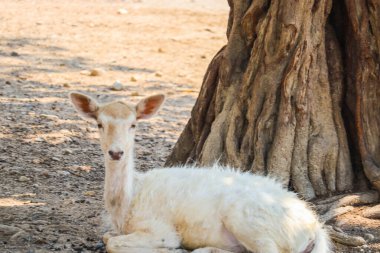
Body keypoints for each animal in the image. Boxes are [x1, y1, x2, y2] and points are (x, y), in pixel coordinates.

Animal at [70, 93, 332, 253]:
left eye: (133, 124)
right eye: (99, 124)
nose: (116, 152)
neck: (126, 204)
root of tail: (314, 228)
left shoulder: (160, 228)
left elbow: (112, 242)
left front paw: (168, 249)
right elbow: (107, 237)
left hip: (249, 222)